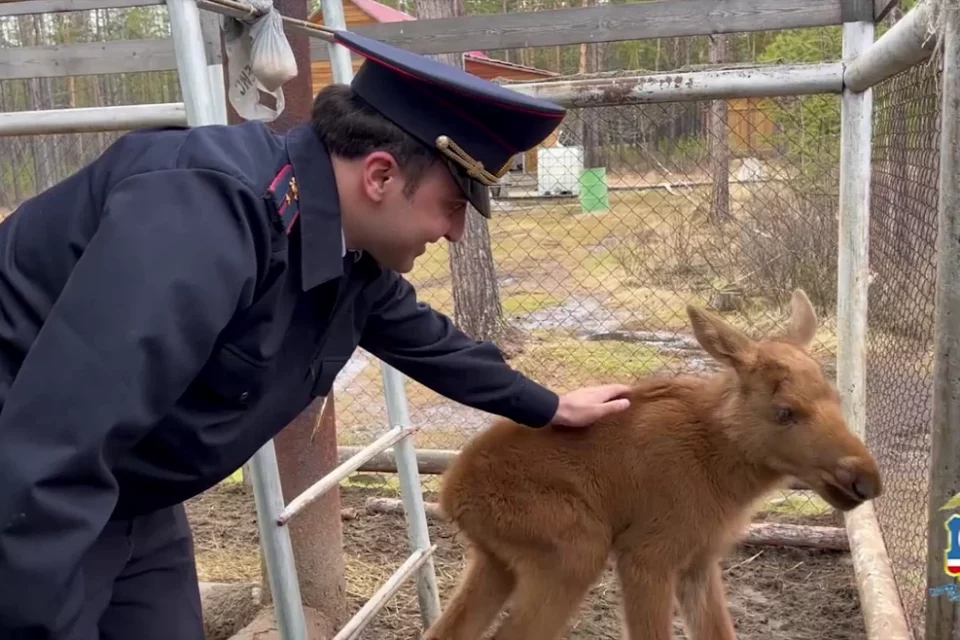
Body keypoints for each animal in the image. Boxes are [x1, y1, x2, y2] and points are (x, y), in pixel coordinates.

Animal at [424, 292, 880, 640]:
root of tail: (451, 495)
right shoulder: (646, 555)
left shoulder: (699, 561)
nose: (867, 480)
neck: (726, 473)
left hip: (497, 559)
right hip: (575, 548)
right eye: (785, 411)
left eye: (836, 397)